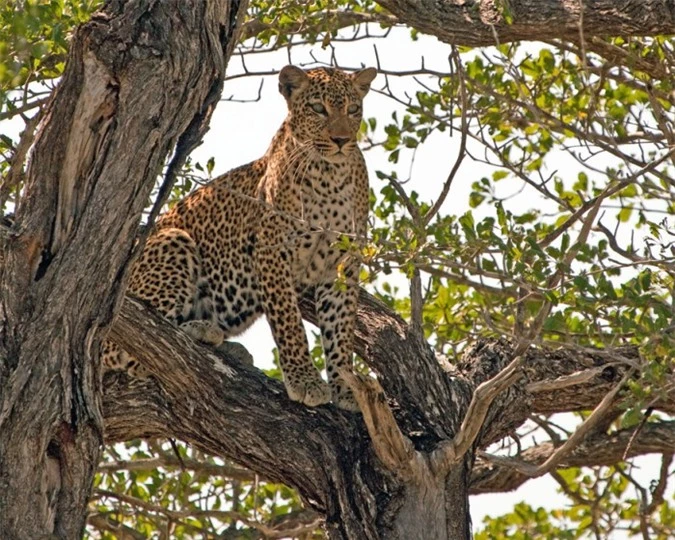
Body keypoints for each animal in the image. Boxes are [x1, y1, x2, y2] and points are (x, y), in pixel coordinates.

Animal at [104, 64, 380, 410]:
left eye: (354, 110)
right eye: (319, 108)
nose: (342, 140)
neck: (329, 175)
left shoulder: (343, 263)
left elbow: (340, 329)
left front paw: (345, 387)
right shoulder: (273, 250)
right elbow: (290, 322)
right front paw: (305, 380)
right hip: (171, 239)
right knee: (125, 349)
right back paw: (198, 333)